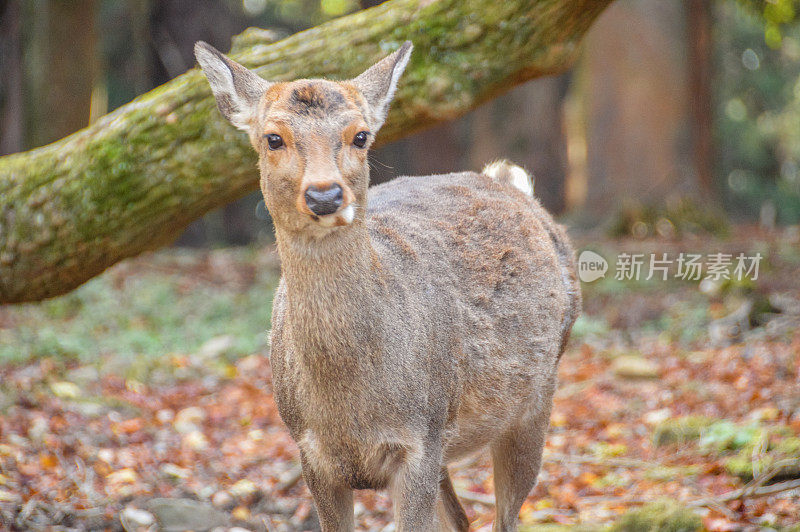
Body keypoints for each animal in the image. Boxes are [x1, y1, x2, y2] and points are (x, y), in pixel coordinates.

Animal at [194, 38, 580, 532]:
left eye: (360, 136)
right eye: (273, 137)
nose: (324, 195)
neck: (350, 409)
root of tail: (510, 182)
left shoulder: (422, 438)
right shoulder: (309, 449)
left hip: (535, 398)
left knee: (505, 515)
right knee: (461, 519)